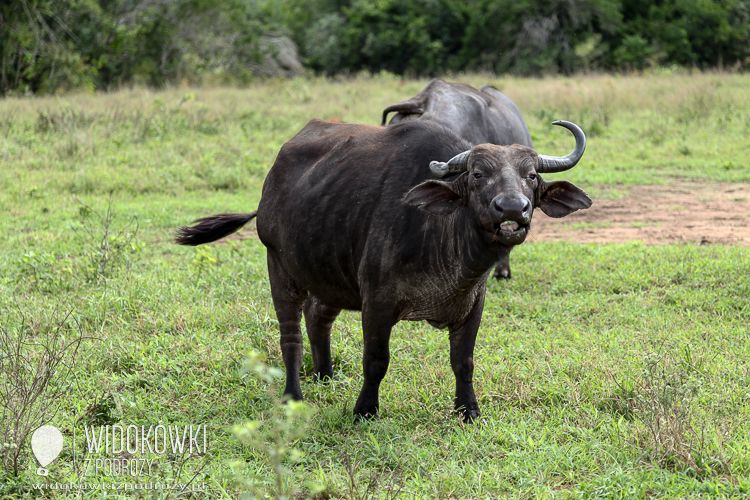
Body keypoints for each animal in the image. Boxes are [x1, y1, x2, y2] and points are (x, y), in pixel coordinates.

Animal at [178, 118, 592, 422]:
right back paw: (293, 395)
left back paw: (325, 374)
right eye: (477, 174)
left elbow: (464, 361)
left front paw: (468, 410)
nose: (511, 209)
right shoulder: (376, 301)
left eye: (531, 176)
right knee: (289, 336)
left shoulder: (473, 303)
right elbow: (376, 359)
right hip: (279, 266)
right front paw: (365, 409)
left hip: (330, 275)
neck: (442, 238)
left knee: (317, 316)